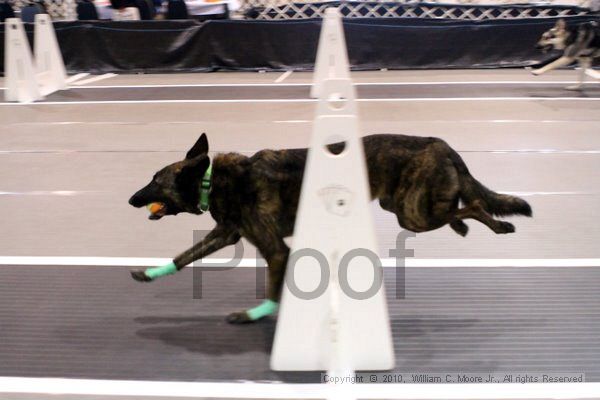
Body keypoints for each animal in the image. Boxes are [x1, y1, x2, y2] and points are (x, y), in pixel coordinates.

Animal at [129, 133, 532, 324]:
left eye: (155, 181)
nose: (132, 199)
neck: (212, 180)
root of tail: (441, 143)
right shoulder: (226, 234)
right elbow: (183, 257)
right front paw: (151, 273)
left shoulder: (276, 251)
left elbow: (272, 293)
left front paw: (252, 316)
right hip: (402, 207)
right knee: (458, 207)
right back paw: (464, 227)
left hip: (410, 214)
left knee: (474, 204)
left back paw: (496, 227)